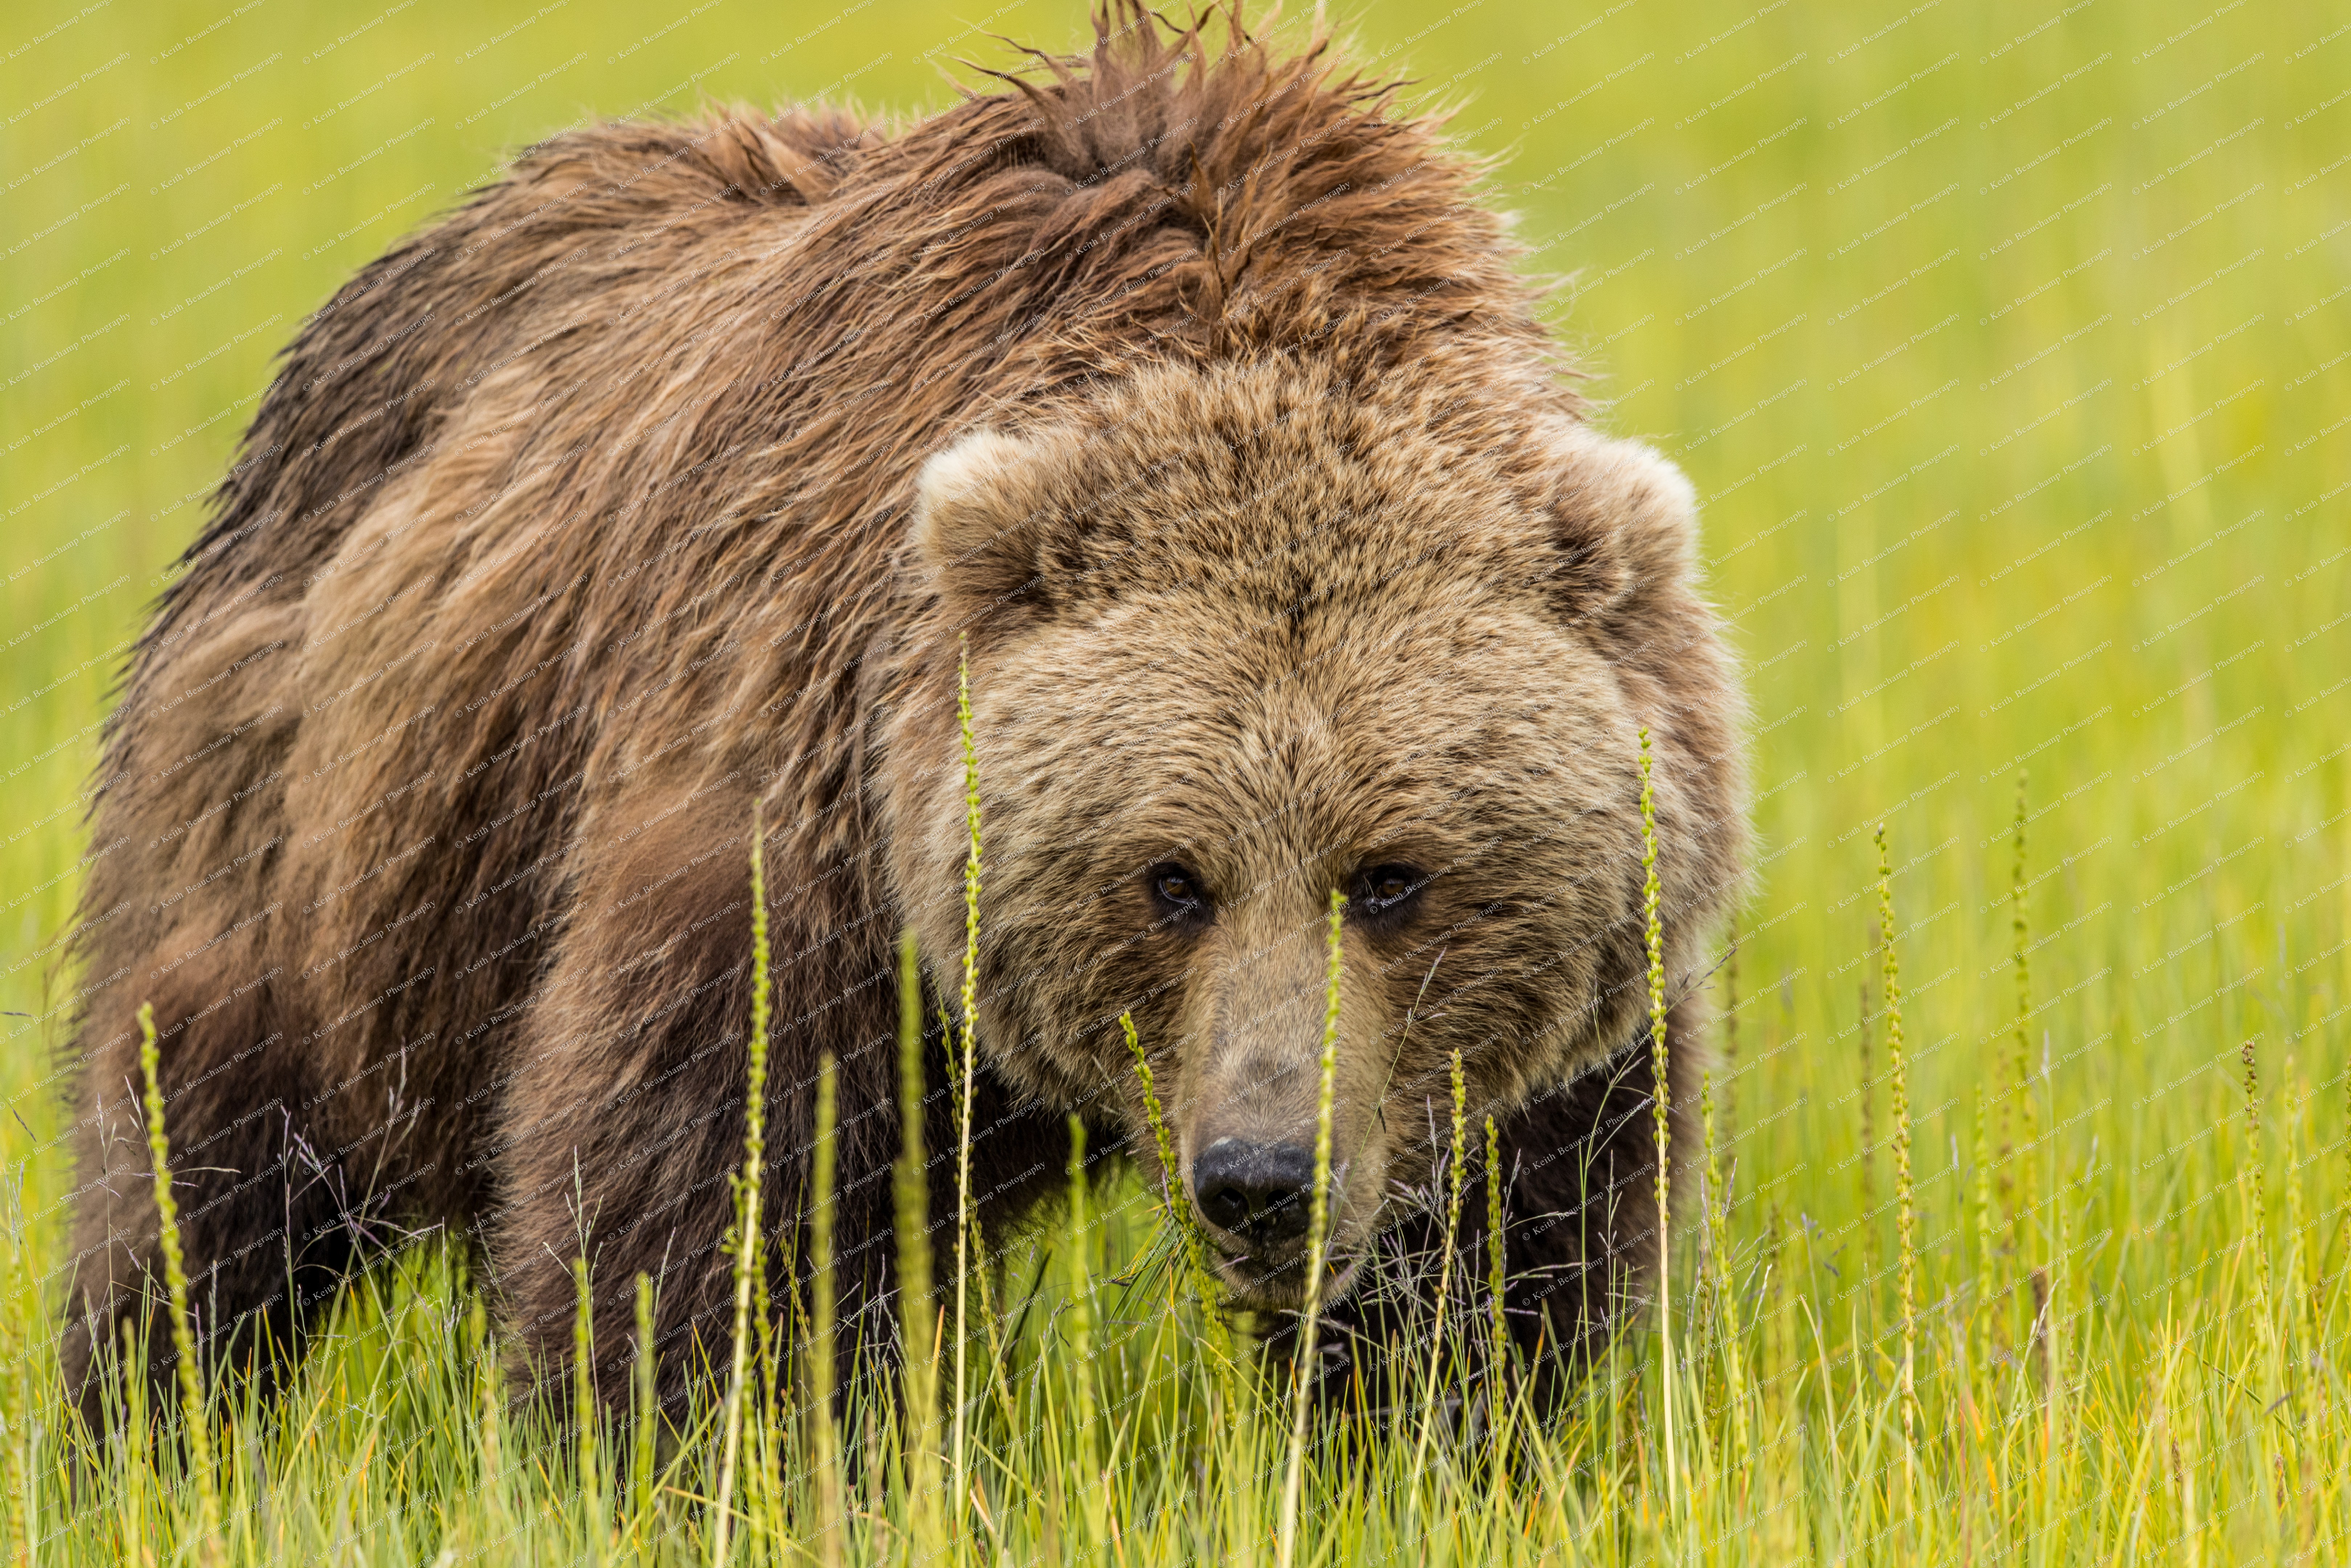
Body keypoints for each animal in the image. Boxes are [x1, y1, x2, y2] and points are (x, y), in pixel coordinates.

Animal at [58, 2, 1746, 1425]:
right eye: (1170, 877)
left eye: (1391, 874)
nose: (1262, 1172)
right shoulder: (802, 826)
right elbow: (700, 1210)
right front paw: (703, 1444)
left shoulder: (1558, 1009)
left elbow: (1493, 1260)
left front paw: (1413, 1429)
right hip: (320, 808)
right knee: (205, 1155)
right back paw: (146, 1424)